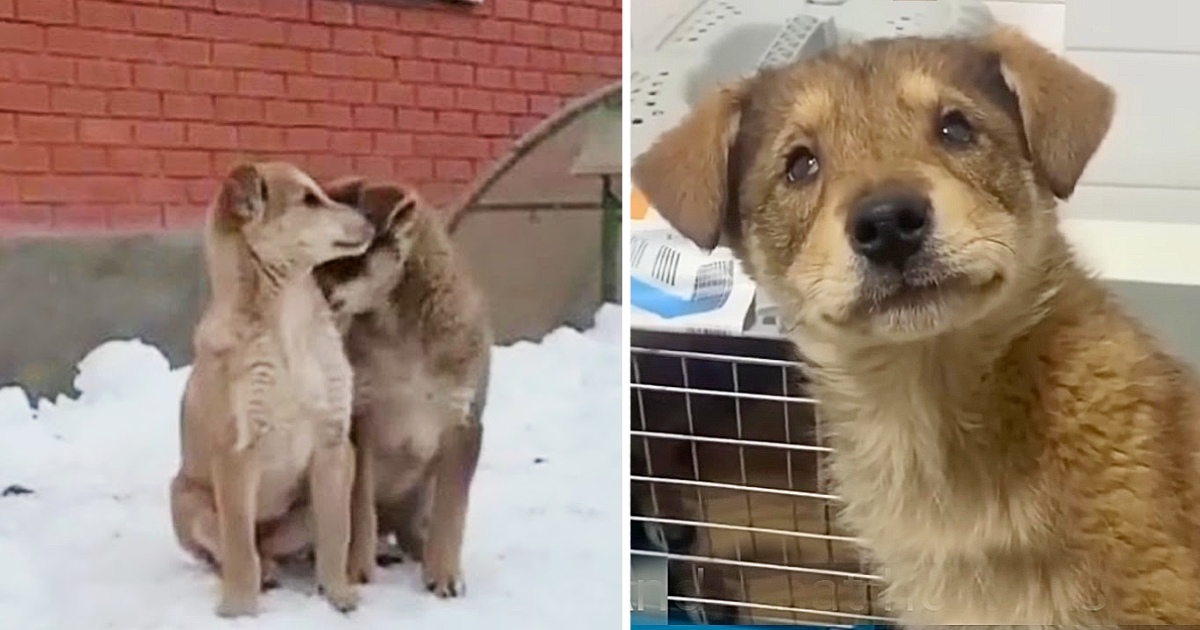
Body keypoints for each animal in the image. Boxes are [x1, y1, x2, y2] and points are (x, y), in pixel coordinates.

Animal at [169, 159, 372, 614]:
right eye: (309, 200)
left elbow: (337, 533)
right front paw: (240, 608)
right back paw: (261, 577)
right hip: (188, 501)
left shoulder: (334, 444)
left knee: (275, 549)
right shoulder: (236, 453)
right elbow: (239, 545)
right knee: (234, 551)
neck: (288, 320)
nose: (370, 221)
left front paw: (339, 594)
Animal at [314, 175, 492, 595]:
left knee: (415, 527)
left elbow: (452, 511)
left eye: (344, 250)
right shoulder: (362, 421)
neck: (402, 332)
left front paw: (444, 575)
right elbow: (359, 509)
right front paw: (357, 571)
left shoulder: (463, 424)